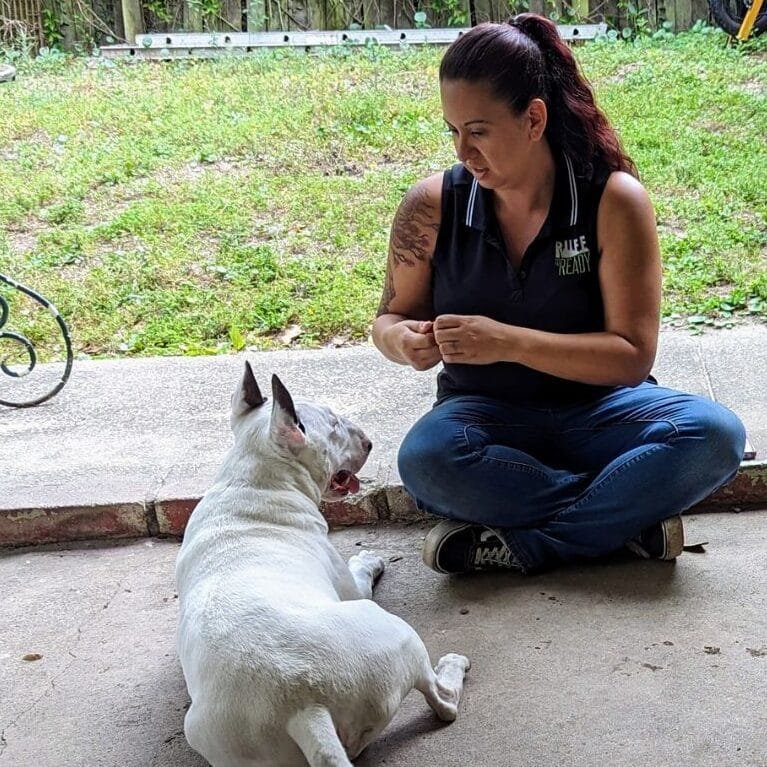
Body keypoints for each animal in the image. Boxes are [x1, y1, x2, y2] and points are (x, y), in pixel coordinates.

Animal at [177, 368, 472, 767]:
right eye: (333, 424)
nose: (368, 442)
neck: (252, 480)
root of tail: (302, 708)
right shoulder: (349, 586)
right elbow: (359, 574)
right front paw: (367, 559)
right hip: (395, 633)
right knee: (441, 701)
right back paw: (453, 669)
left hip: (214, 736)